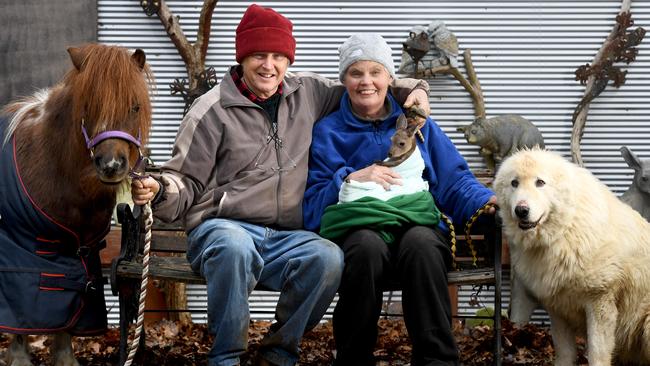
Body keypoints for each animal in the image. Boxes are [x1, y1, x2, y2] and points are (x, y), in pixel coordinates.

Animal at [1, 43, 153, 366]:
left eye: (134, 106)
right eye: (88, 107)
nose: (111, 165)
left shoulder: (80, 252)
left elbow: (69, 310)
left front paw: (64, 357)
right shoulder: (18, 250)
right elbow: (19, 312)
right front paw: (18, 357)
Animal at [494, 149, 644, 366]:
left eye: (540, 182)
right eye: (514, 183)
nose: (521, 210)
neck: (564, 230)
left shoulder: (600, 302)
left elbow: (597, 354)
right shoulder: (558, 308)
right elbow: (564, 352)